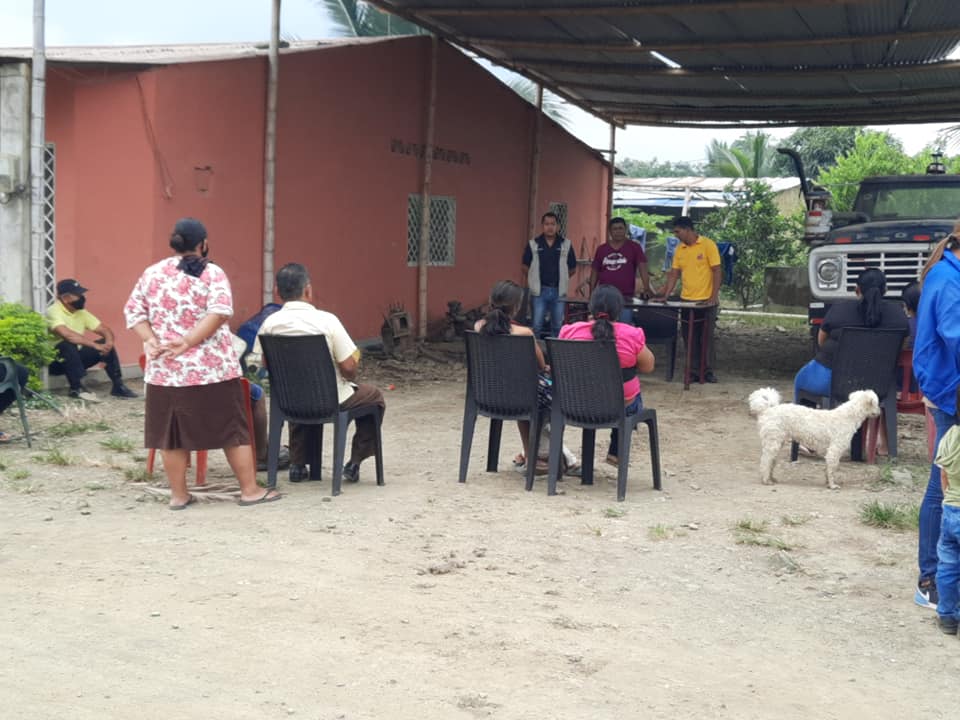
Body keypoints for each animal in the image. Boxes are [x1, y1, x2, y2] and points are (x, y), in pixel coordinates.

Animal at [748, 387, 881, 490]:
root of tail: (768, 409)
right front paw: (832, 485)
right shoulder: (835, 450)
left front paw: (827, 482)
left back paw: (771, 477)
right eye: (877, 403)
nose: (880, 412)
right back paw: (766, 480)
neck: (848, 416)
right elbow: (832, 468)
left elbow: (828, 468)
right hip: (773, 442)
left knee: (771, 461)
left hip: (777, 442)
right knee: (765, 460)